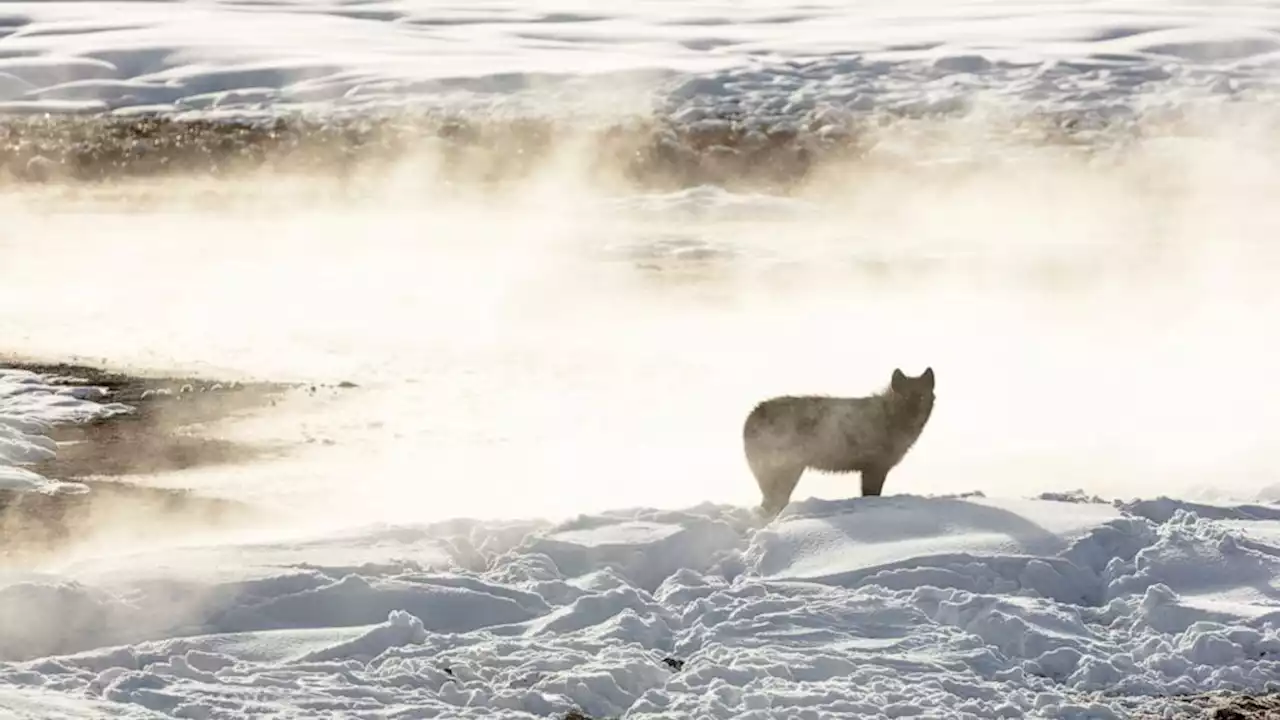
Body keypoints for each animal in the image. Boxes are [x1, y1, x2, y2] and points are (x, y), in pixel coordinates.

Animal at [742, 366, 931, 517]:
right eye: (904, 397)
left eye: (922, 397)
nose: (914, 414)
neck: (890, 418)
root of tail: (751, 416)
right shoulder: (874, 468)